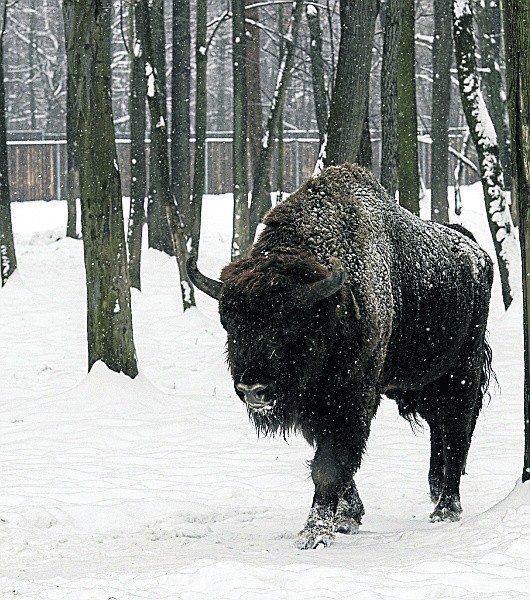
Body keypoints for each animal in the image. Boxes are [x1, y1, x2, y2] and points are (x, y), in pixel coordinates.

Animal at [186, 163, 490, 548]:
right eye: (230, 323)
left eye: (288, 324)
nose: (253, 390)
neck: (328, 306)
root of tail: (477, 252)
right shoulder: (312, 407)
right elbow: (333, 459)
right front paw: (348, 517)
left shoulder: (350, 399)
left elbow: (329, 465)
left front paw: (315, 533)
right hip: (423, 381)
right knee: (440, 428)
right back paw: (436, 494)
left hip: (461, 372)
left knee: (456, 430)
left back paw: (446, 509)